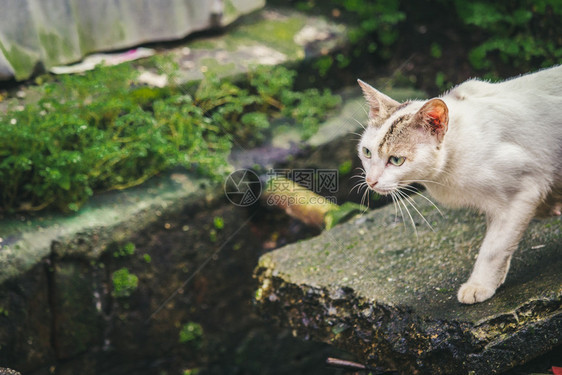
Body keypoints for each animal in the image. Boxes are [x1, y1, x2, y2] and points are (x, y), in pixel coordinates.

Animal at [356, 66, 560, 304]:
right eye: (367, 152)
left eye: (396, 160)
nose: (370, 181)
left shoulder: (523, 190)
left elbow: (494, 247)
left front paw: (479, 284)